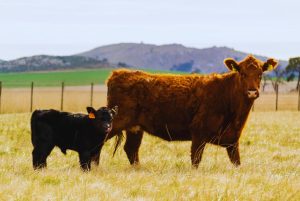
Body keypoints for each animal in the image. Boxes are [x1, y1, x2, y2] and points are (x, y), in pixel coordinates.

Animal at [106, 55, 278, 168]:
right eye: (242, 73)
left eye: (260, 74)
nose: (252, 92)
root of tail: (118, 73)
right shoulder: (198, 134)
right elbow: (195, 161)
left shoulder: (232, 141)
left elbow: (237, 163)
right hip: (114, 124)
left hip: (135, 129)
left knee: (131, 149)